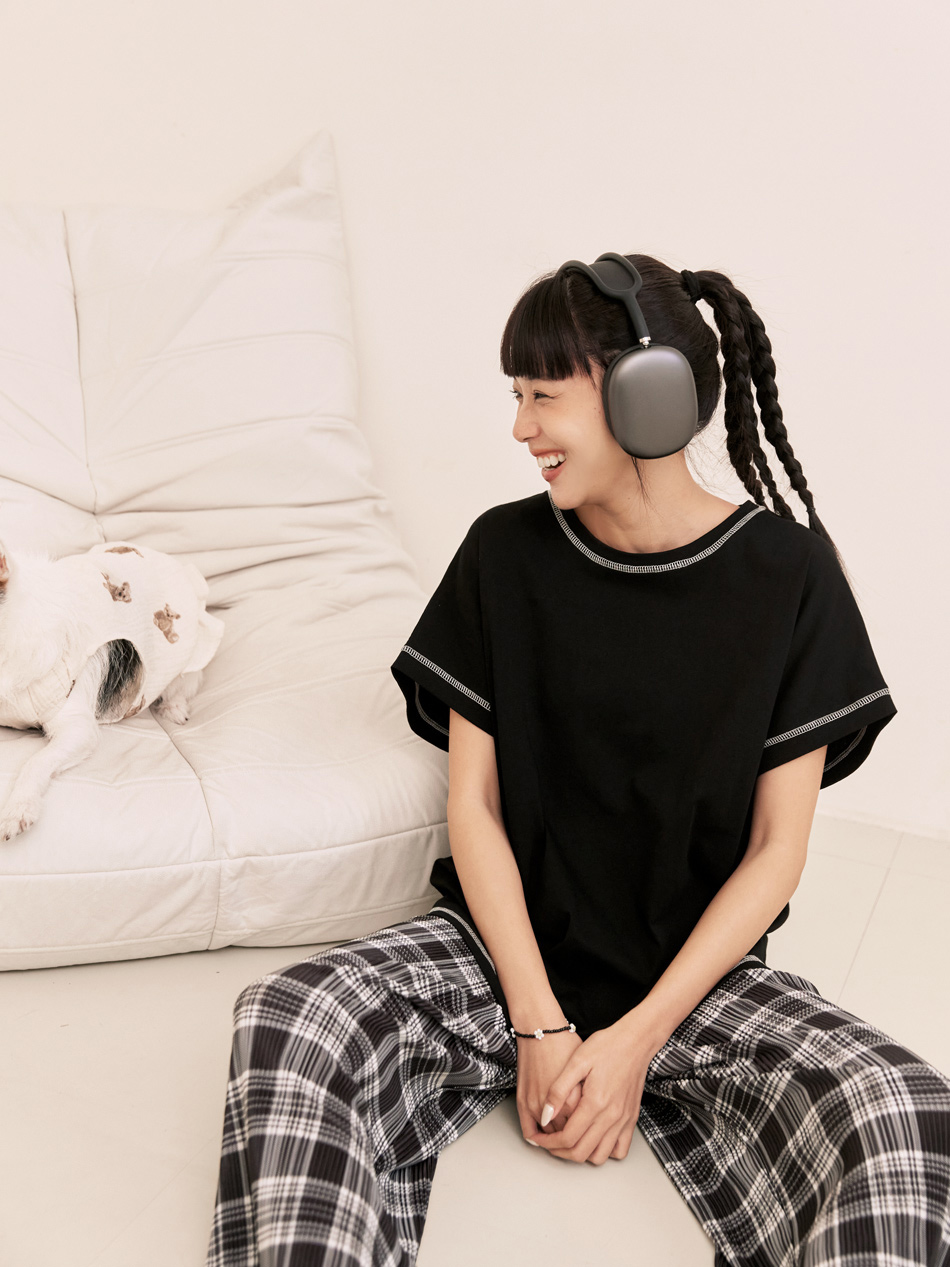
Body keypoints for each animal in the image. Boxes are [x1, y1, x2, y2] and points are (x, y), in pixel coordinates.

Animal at [0, 538, 225, 842]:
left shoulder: (78, 729)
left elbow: (36, 761)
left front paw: (18, 807)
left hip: (187, 656)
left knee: (183, 684)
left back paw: (173, 707)